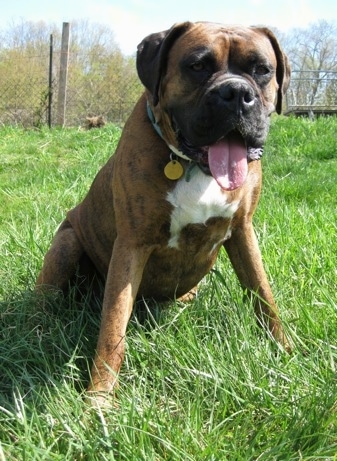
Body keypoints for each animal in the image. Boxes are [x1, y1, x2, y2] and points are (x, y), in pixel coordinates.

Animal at [35, 21, 290, 396]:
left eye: (262, 69)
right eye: (197, 65)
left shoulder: (243, 231)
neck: (194, 165)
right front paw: (100, 395)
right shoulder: (132, 244)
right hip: (66, 244)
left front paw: (287, 352)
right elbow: (113, 326)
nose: (235, 93)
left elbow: (263, 295)